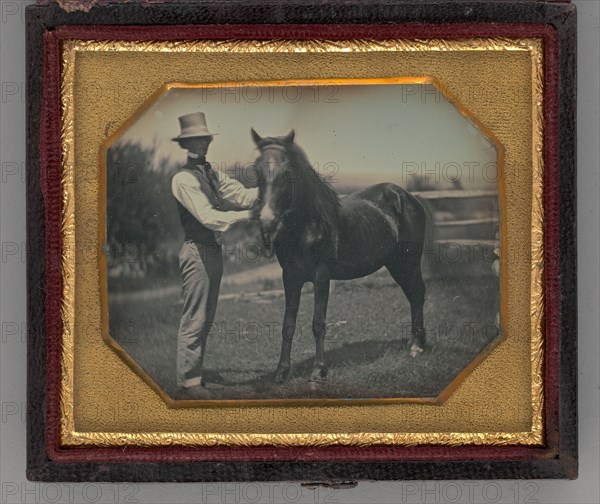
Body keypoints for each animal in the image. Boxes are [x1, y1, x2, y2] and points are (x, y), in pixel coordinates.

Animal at [251, 128, 428, 384]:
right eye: (256, 170)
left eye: (288, 172)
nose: (266, 220)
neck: (308, 225)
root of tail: (408, 197)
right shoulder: (290, 278)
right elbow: (288, 324)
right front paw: (282, 371)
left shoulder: (321, 277)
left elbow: (318, 323)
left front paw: (318, 371)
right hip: (396, 265)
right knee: (413, 295)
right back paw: (416, 343)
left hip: (409, 262)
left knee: (418, 294)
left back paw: (418, 347)